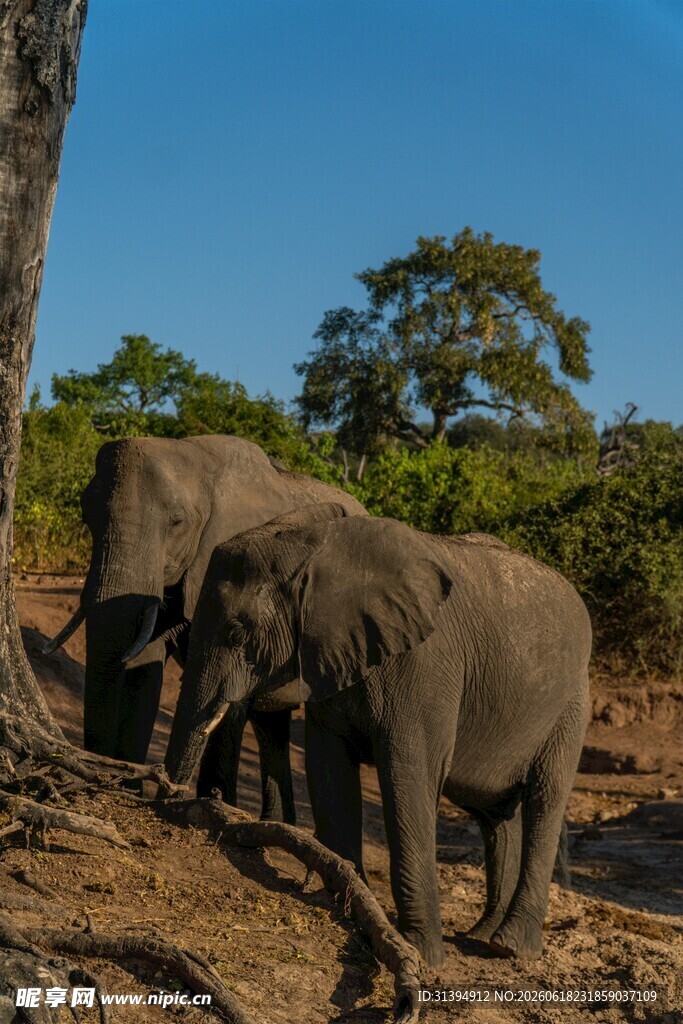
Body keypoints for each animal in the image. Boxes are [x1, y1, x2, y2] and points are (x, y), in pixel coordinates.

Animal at [44, 436, 365, 821]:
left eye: (177, 522)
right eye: (85, 516)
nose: (100, 779)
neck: (198, 459)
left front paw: (210, 804)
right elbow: (144, 667)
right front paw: (128, 790)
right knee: (271, 723)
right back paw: (275, 821)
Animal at [164, 503, 591, 968]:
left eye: (238, 632)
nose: (172, 797)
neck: (320, 547)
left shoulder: (422, 667)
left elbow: (409, 777)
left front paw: (421, 955)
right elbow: (328, 769)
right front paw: (349, 907)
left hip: (570, 706)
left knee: (545, 801)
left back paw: (511, 947)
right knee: (493, 813)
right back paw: (482, 936)